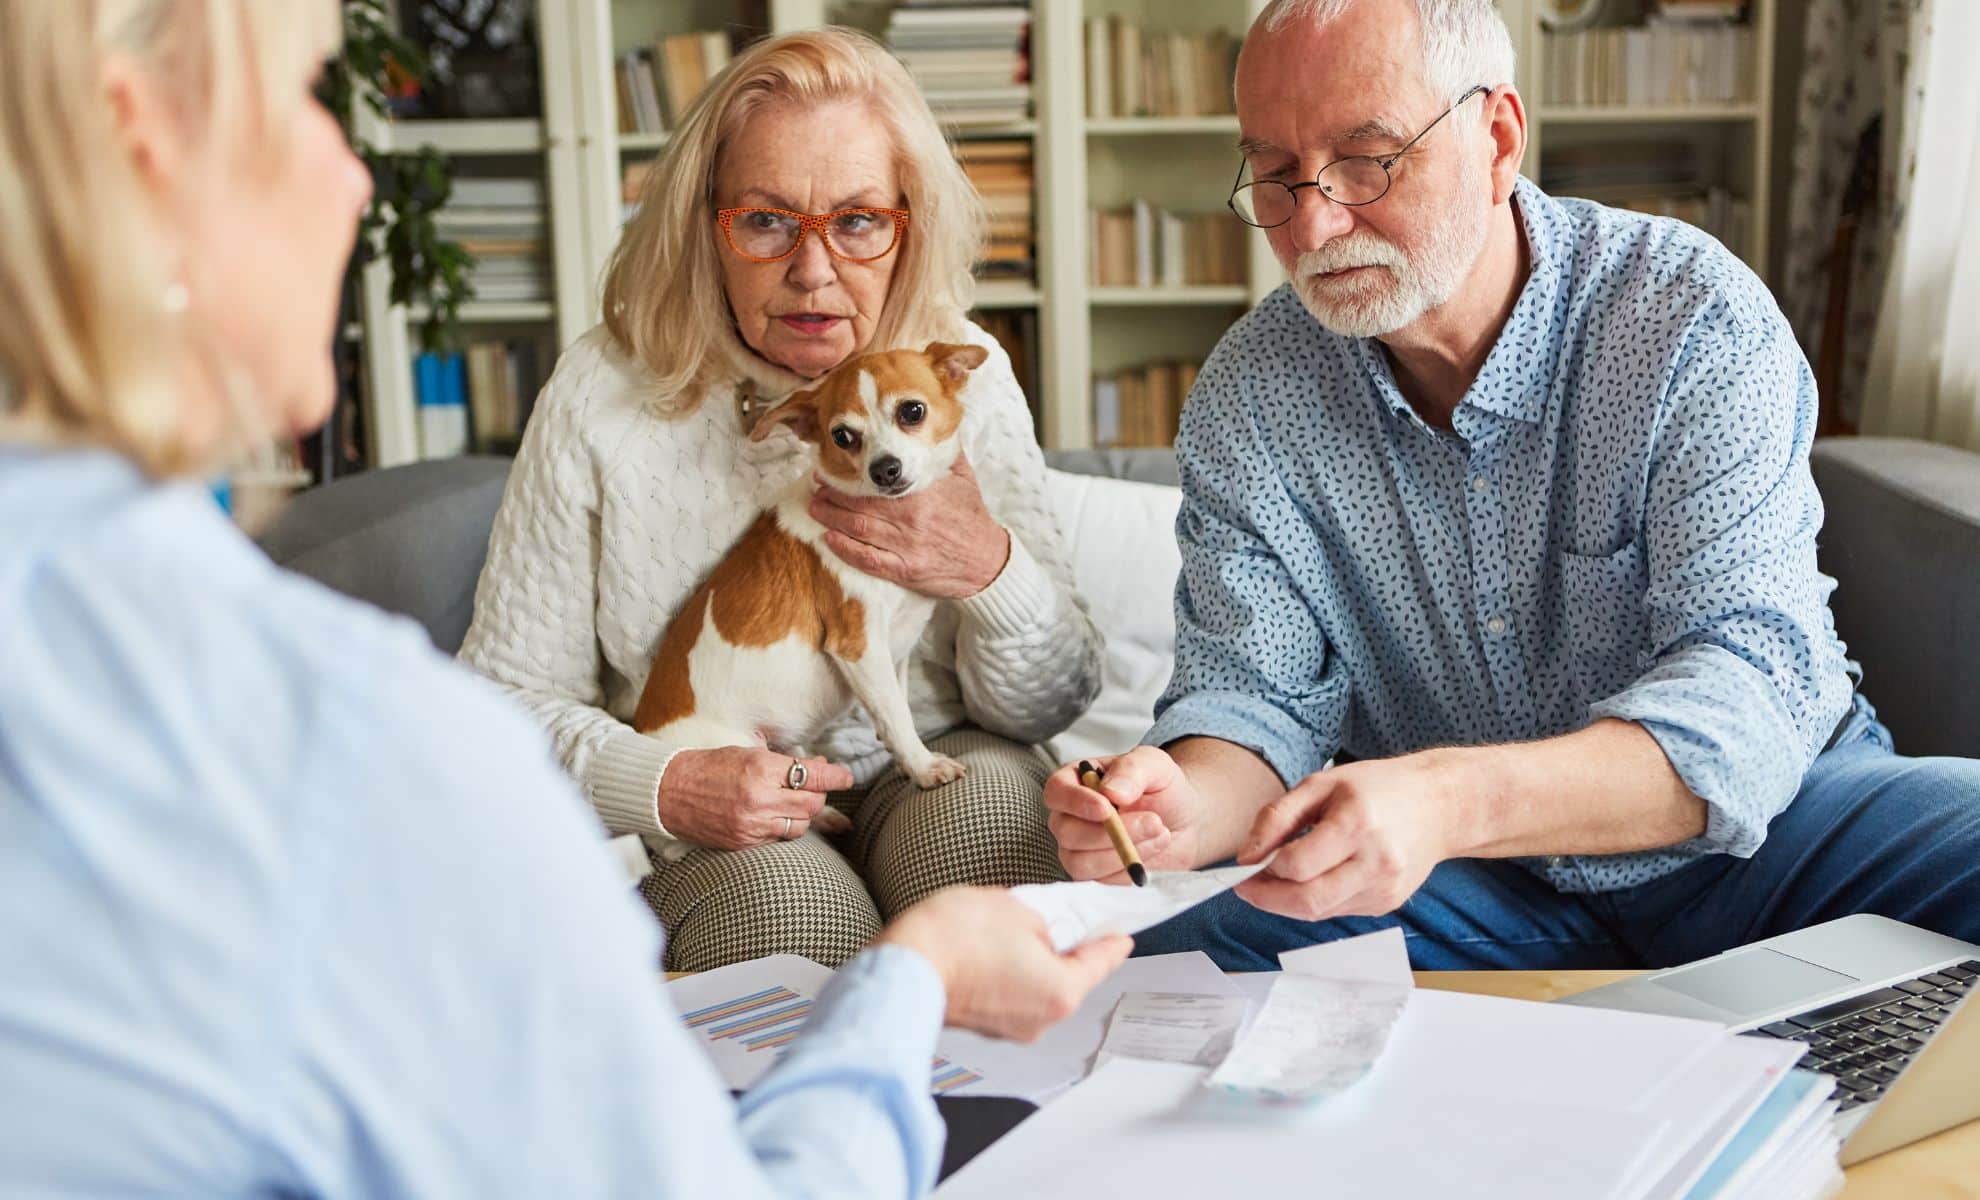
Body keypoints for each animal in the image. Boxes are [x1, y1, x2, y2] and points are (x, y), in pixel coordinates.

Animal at [633, 342, 990, 803]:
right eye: (842, 436)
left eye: (912, 411)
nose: (884, 469)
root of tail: (644, 732)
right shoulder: (858, 647)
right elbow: (895, 715)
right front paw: (925, 766)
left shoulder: (895, 650)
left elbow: (897, 708)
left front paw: (907, 761)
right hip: (738, 749)